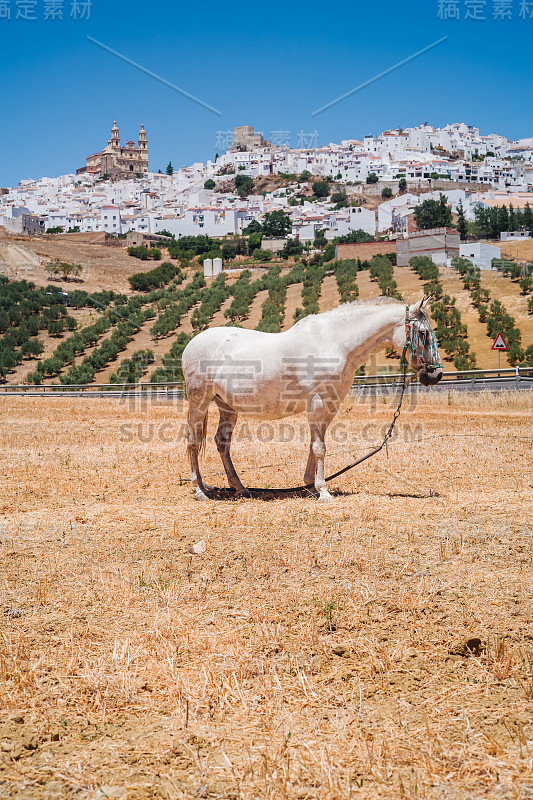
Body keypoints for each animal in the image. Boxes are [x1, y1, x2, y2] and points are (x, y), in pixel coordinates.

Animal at [183, 296, 440, 504]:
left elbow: (315, 444)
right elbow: (319, 447)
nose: (436, 375)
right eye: (423, 333)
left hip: (227, 407)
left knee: (222, 442)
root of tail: (192, 344)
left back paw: (239, 488)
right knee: (193, 442)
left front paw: (309, 486)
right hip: (199, 401)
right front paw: (323, 491)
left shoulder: (330, 406)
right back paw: (200, 490)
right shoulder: (316, 403)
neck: (336, 343)